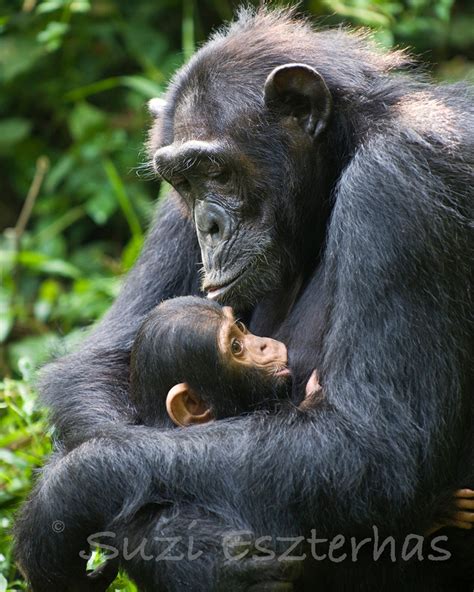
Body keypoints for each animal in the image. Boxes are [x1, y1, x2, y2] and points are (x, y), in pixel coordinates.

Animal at [12, 5, 472, 592]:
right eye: (183, 181)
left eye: (217, 170)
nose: (207, 224)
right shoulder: (171, 214)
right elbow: (99, 364)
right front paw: (183, 547)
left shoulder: (402, 183)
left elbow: (373, 445)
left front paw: (70, 490)